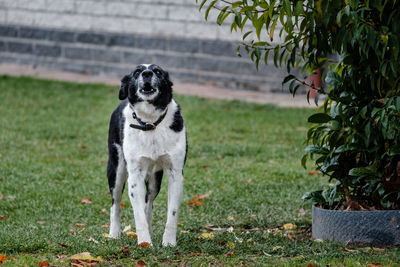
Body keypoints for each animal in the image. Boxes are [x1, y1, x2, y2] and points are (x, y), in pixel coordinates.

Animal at [106, 64, 188, 247]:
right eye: (137, 72)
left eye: (158, 71)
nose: (147, 73)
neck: (150, 121)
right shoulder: (135, 176)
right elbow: (138, 215)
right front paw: (144, 242)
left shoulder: (175, 174)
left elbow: (172, 213)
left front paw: (169, 242)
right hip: (117, 169)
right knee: (115, 203)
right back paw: (114, 233)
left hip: (154, 180)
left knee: (148, 204)